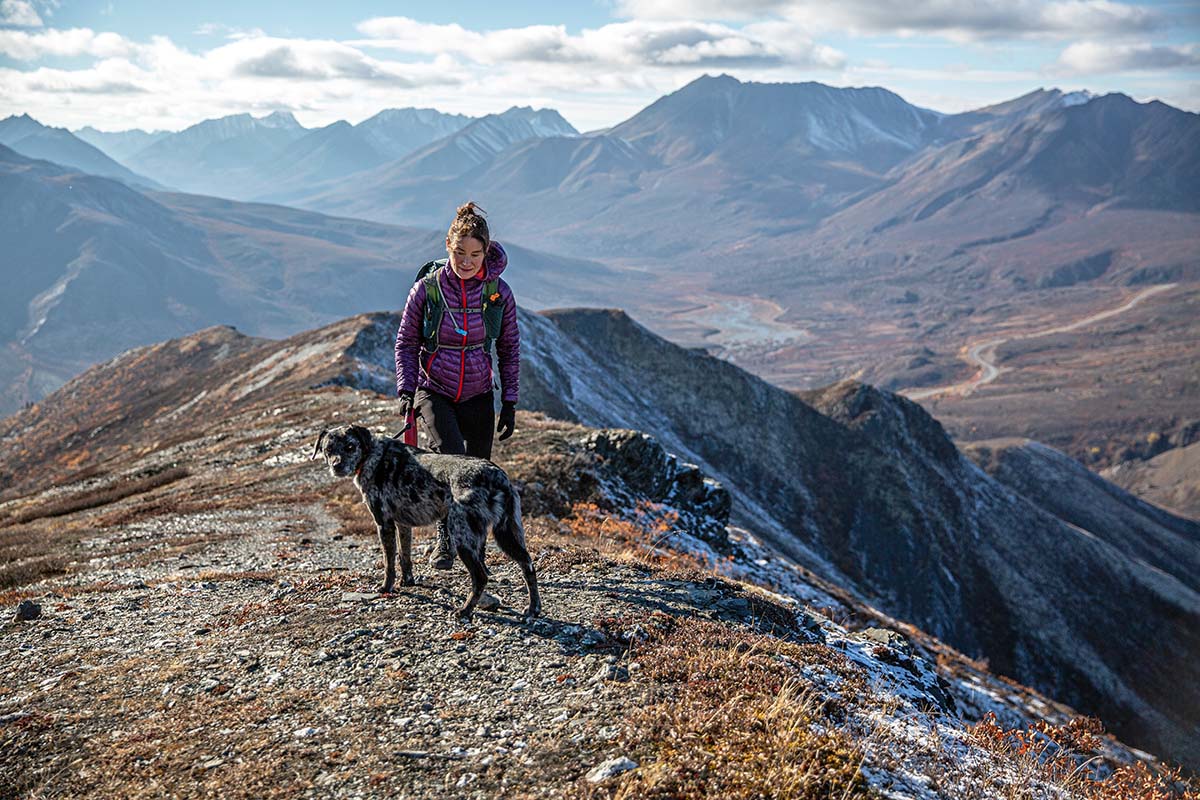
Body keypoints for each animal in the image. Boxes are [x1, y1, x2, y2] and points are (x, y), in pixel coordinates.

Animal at [309, 422, 540, 623]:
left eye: (350, 446)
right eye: (328, 449)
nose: (337, 466)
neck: (372, 456)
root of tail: (499, 478)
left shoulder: (384, 524)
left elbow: (389, 563)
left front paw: (386, 588)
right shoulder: (403, 525)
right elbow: (405, 557)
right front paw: (407, 581)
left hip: (463, 537)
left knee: (481, 577)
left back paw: (465, 610)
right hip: (507, 534)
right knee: (528, 565)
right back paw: (533, 609)